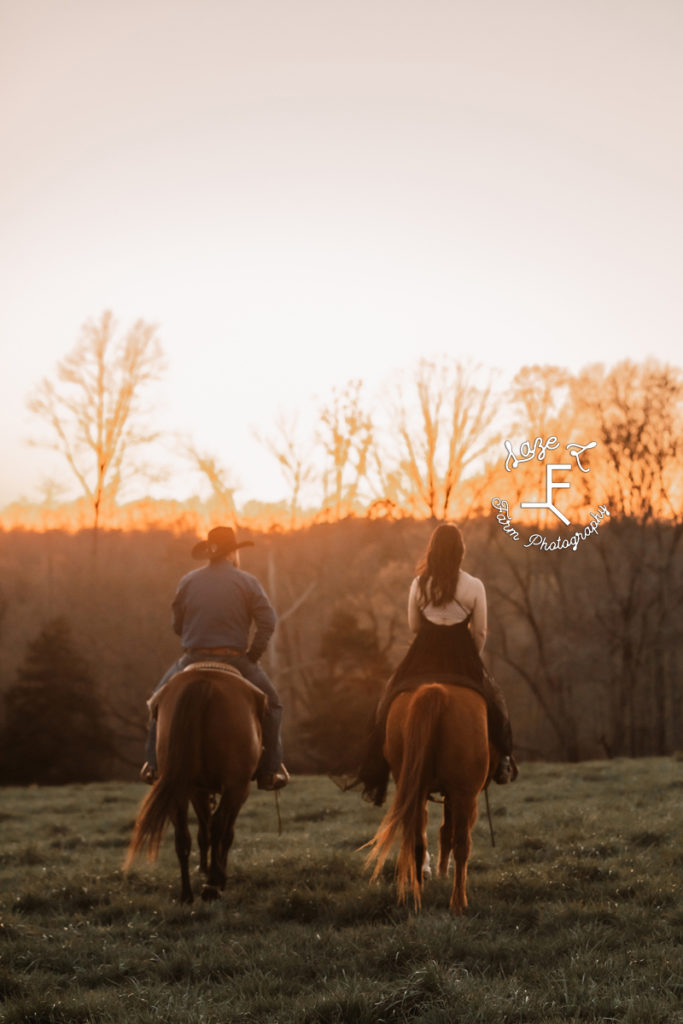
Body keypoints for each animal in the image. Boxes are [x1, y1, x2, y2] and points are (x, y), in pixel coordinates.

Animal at [124, 663, 266, 905]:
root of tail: (202, 683)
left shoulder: (197, 790)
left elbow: (202, 831)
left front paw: (204, 868)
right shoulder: (239, 790)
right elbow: (225, 833)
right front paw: (217, 876)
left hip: (179, 788)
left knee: (183, 836)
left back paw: (186, 894)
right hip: (235, 786)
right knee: (219, 826)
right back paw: (212, 886)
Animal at [366, 684, 493, 917]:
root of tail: (436, 689)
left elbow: (441, 830)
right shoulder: (463, 796)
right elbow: (449, 832)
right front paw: (442, 872)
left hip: (416, 788)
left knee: (418, 840)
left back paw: (420, 890)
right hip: (464, 794)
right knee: (462, 845)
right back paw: (458, 902)